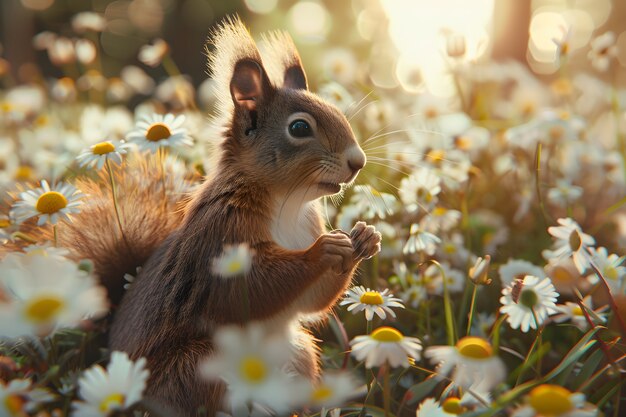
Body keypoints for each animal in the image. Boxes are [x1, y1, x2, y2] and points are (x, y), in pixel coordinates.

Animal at [47, 15, 380, 412]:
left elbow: (311, 303)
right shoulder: (220, 233)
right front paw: (323, 251)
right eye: (299, 127)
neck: (288, 202)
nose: (358, 162)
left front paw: (364, 239)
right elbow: (247, 290)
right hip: (196, 367)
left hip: (296, 355)